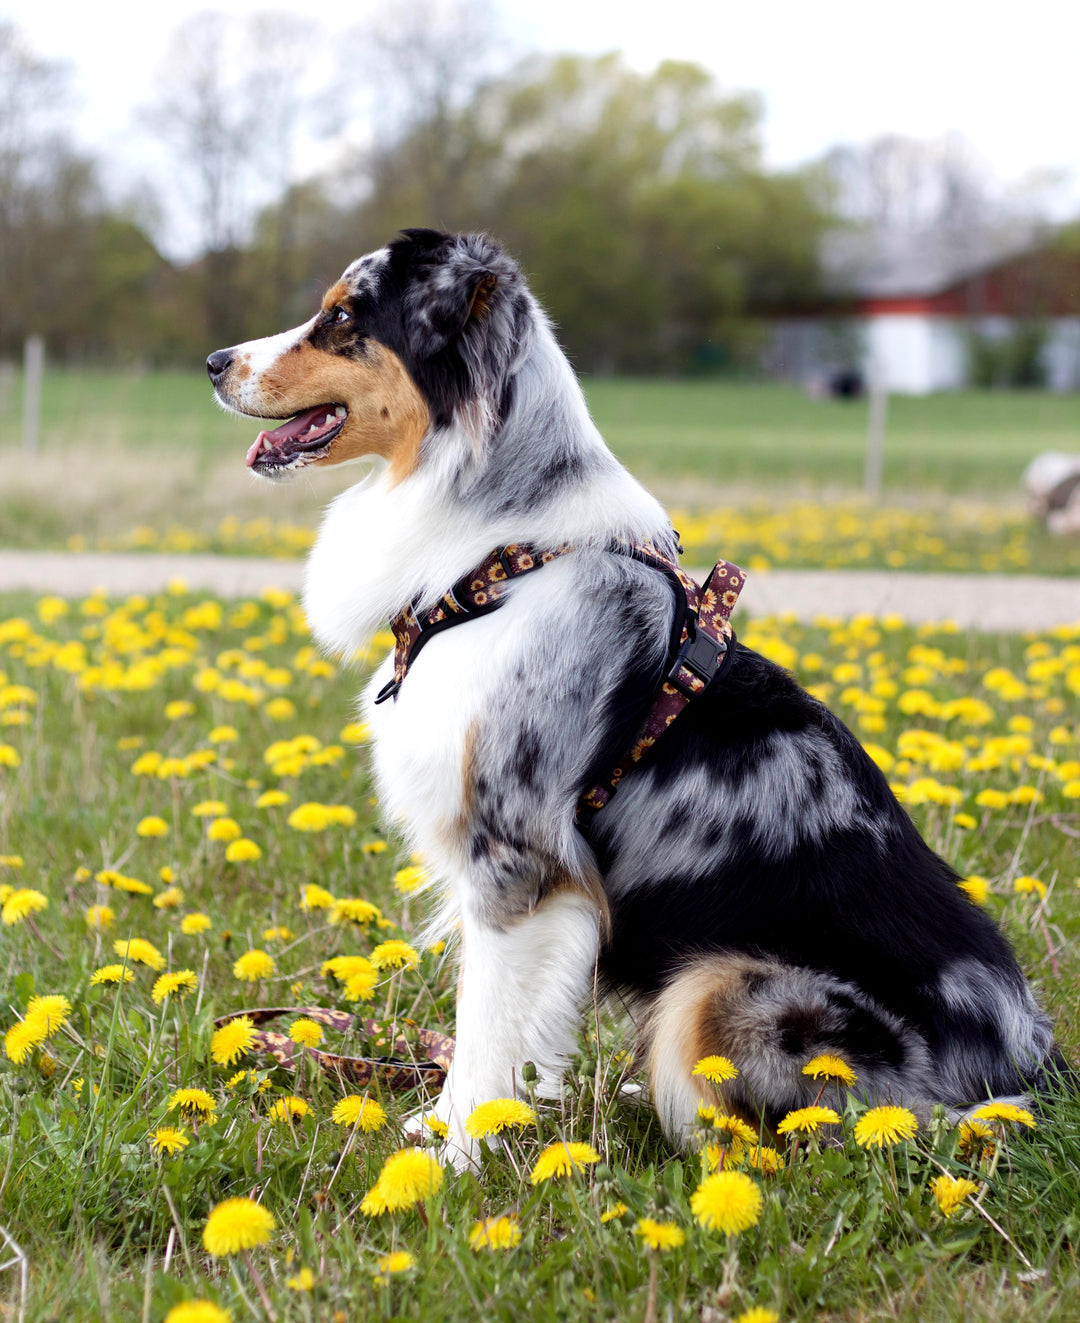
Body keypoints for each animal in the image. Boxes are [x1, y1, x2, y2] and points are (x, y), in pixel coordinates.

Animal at [206, 232, 1069, 1164]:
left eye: (341, 318)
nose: (214, 362)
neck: (499, 564)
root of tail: (1038, 1070)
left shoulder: (518, 856)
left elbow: (484, 1027)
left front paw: (456, 1156)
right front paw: (457, 1125)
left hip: (724, 980)